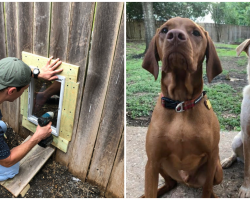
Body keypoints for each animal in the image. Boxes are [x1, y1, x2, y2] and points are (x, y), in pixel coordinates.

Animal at [143, 16, 223, 197]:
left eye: (196, 32)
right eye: (164, 30)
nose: (175, 36)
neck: (180, 104)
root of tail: (186, 180)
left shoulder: (212, 155)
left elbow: (207, 188)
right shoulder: (152, 161)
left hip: (217, 169)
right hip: (158, 165)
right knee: (170, 182)